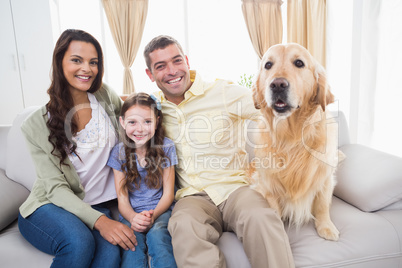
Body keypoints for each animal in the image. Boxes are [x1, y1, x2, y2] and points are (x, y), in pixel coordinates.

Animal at [251, 43, 342, 241]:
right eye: (268, 65)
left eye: (299, 63)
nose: (277, 84)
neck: (291, 138)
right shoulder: (268, 185)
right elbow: (275, 210)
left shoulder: (325, 177)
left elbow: (323, 204)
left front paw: (326, 226)